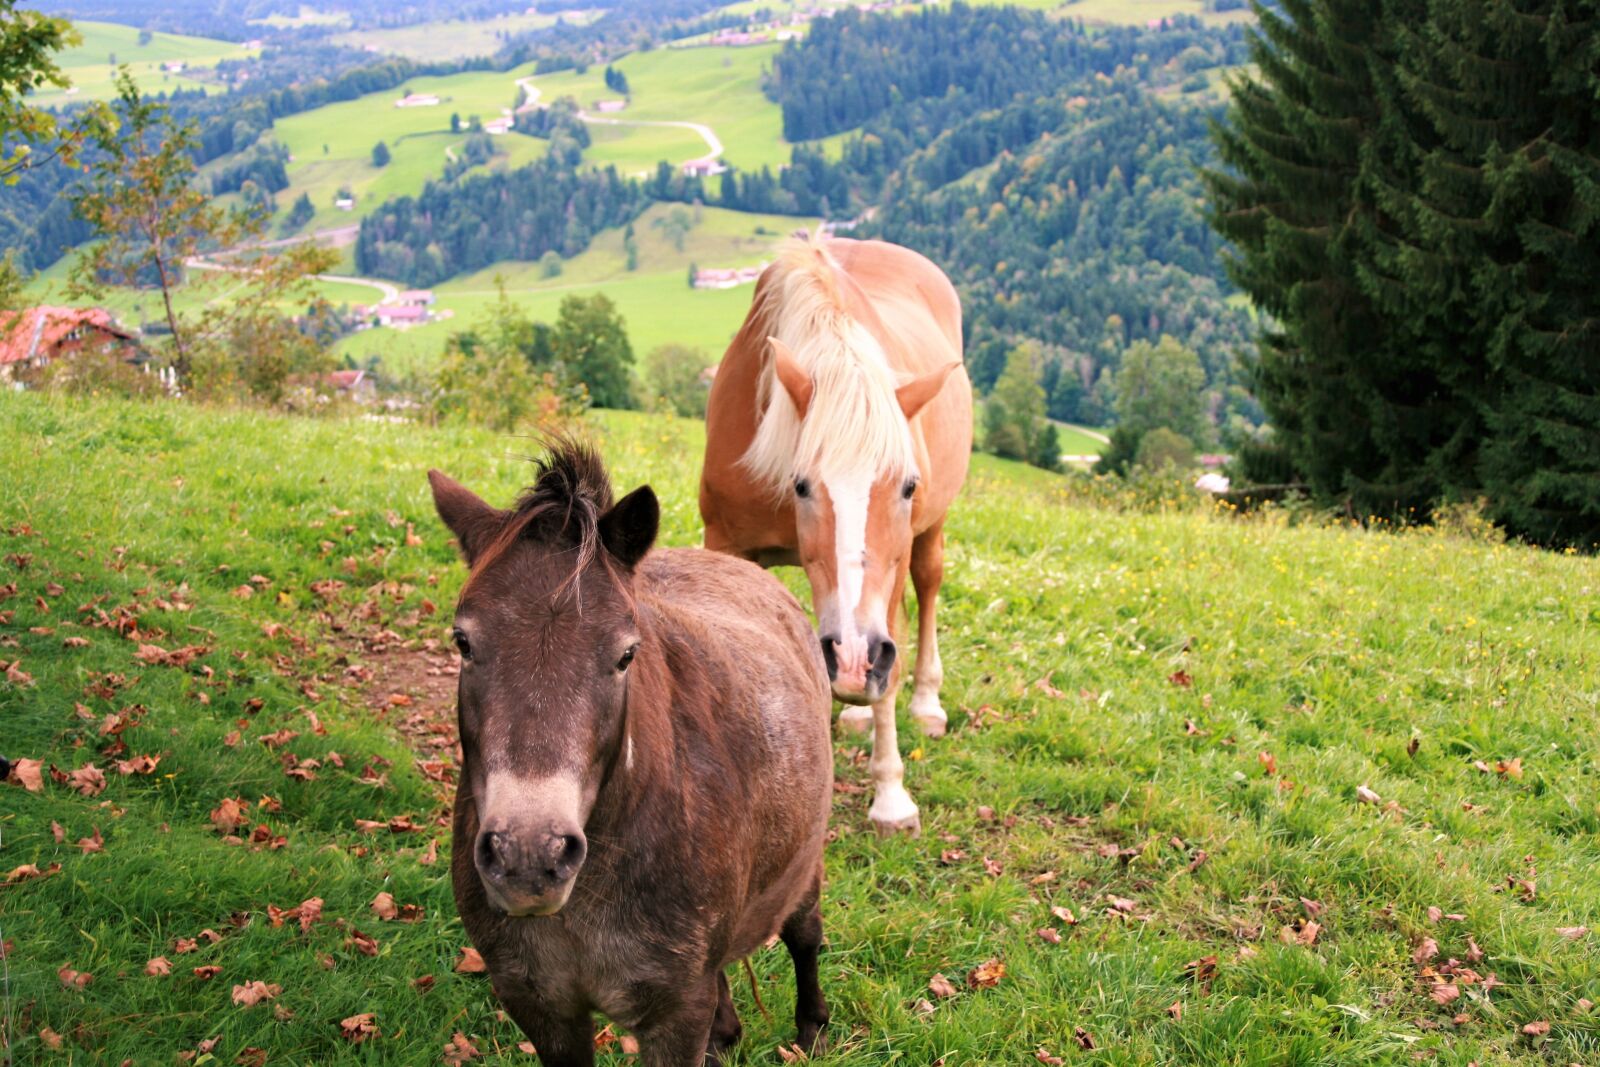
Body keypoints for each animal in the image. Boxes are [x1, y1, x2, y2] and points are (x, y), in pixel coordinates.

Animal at [429, 439, 834, 1066]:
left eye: (626, 653)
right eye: (463, 642)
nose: (529, 856)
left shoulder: (675, 1015)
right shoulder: (543, 1010)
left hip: (804, 866)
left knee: (804, 934)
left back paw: (811, 1027)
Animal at [699, 232, 972, 836]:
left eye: (908, 485)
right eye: (801, 484)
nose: (852, 655)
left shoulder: (889, 578)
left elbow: (888, 676)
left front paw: (891, 798)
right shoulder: (725, 546)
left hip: (929, 539)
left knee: (928, 588)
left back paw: (925, 703)